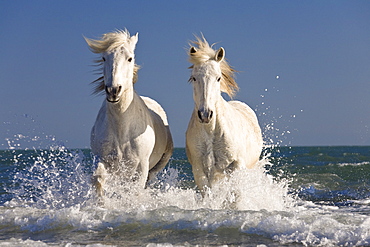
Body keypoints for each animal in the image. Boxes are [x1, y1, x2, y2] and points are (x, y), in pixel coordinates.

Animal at [85, 29, 173, 197]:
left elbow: (135, 190)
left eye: (130, 58)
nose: (113, 90)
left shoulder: (141, 167)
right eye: (104, 58)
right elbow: (98, 179)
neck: (122, 128)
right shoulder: (103, 159)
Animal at [185, 35, 264, 196]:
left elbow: (235, 193)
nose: (205, 114)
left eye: (218, 78)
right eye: (194, 78)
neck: (211, 132)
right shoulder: (199, 169)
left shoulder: (237, 165)